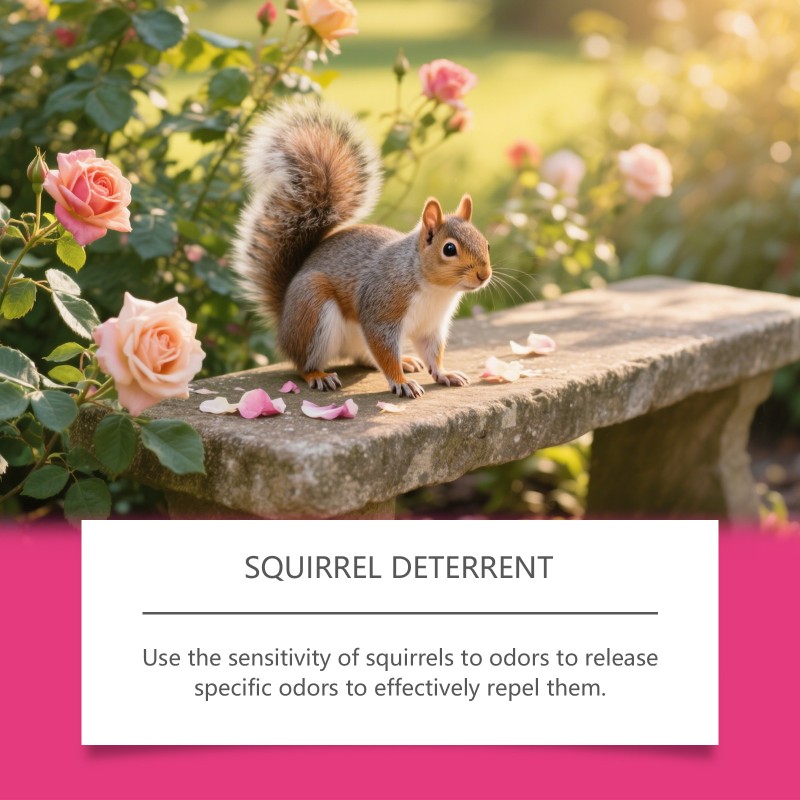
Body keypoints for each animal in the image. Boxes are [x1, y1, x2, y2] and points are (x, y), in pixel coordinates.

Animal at [232, 99, 492, 398]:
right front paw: (401, 382)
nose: (484, 275)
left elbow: (432, 353)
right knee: (303, 363)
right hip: (313, 311)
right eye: (449, 249)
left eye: (486, 243)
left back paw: (405, 360)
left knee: (365, 358)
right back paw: (319, 375)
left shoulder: (431, 325)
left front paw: (444, 373)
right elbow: (384, 350)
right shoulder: (381, 311)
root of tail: (284, 317)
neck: (434, 290)